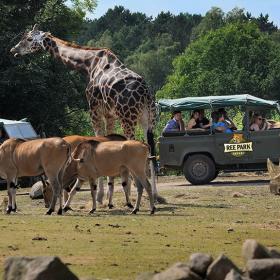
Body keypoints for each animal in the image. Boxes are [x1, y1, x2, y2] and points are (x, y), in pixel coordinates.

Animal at [10, 24, 164, 203]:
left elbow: (98, 140)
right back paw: (155, 195)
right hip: (148, 119)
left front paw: (100, 196)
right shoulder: (109, 114)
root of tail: (145, 93)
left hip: (128, 117)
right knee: (151, 149)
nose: (14, 50)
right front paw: (107, 195)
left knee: (135, 146)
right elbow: (108, 141)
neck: (88, 64)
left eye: (29, 38)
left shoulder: (95, 110)